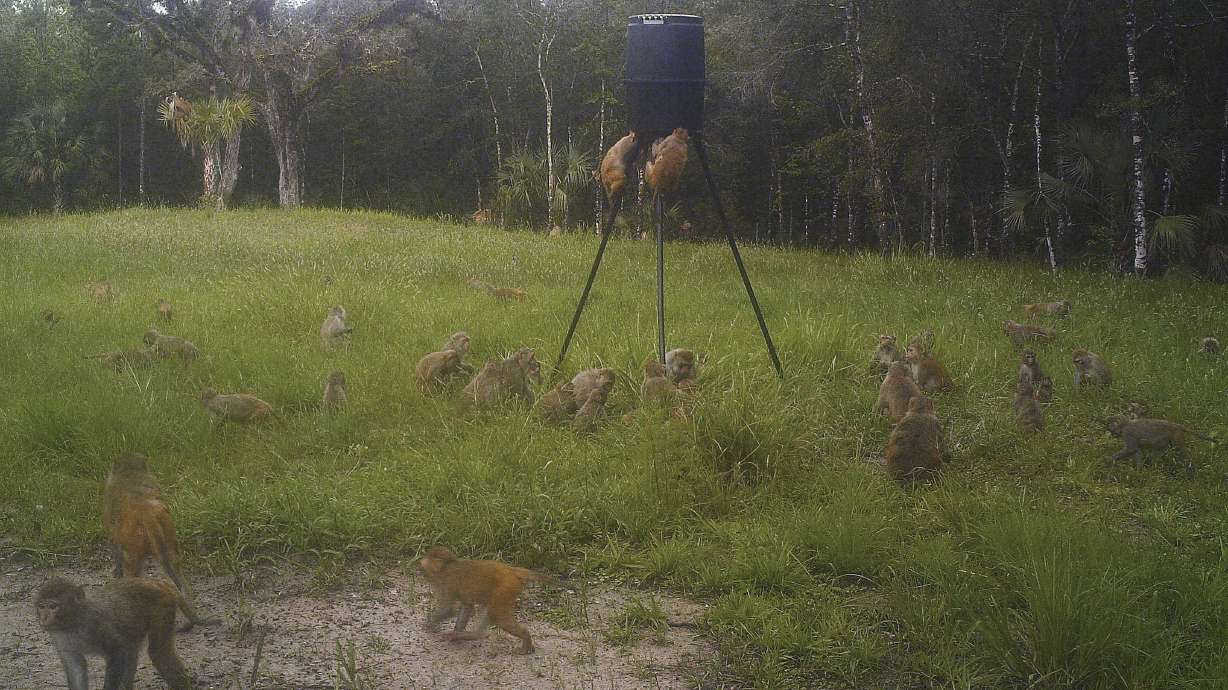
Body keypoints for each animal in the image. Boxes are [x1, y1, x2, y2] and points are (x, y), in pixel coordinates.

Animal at [35, 576, 196, 690]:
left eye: (53, 607)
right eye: (42, 607)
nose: (44, 617)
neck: (74, 622)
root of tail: (157, 583)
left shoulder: (96, 625)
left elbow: (117, 652)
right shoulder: (60, 637)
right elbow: (75, 666)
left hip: (162, 606)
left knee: (158, 653)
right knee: (131, 651)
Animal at [418, 546, 563, 654]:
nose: (421, 562)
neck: (446, 566)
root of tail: (512, 570)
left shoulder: (445, 582)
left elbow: (449, 609)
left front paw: (430, 625)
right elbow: (467, 606)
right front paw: (456, 633)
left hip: (505, 589)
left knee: (499, 616)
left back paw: (525, 637)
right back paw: (474, 635)